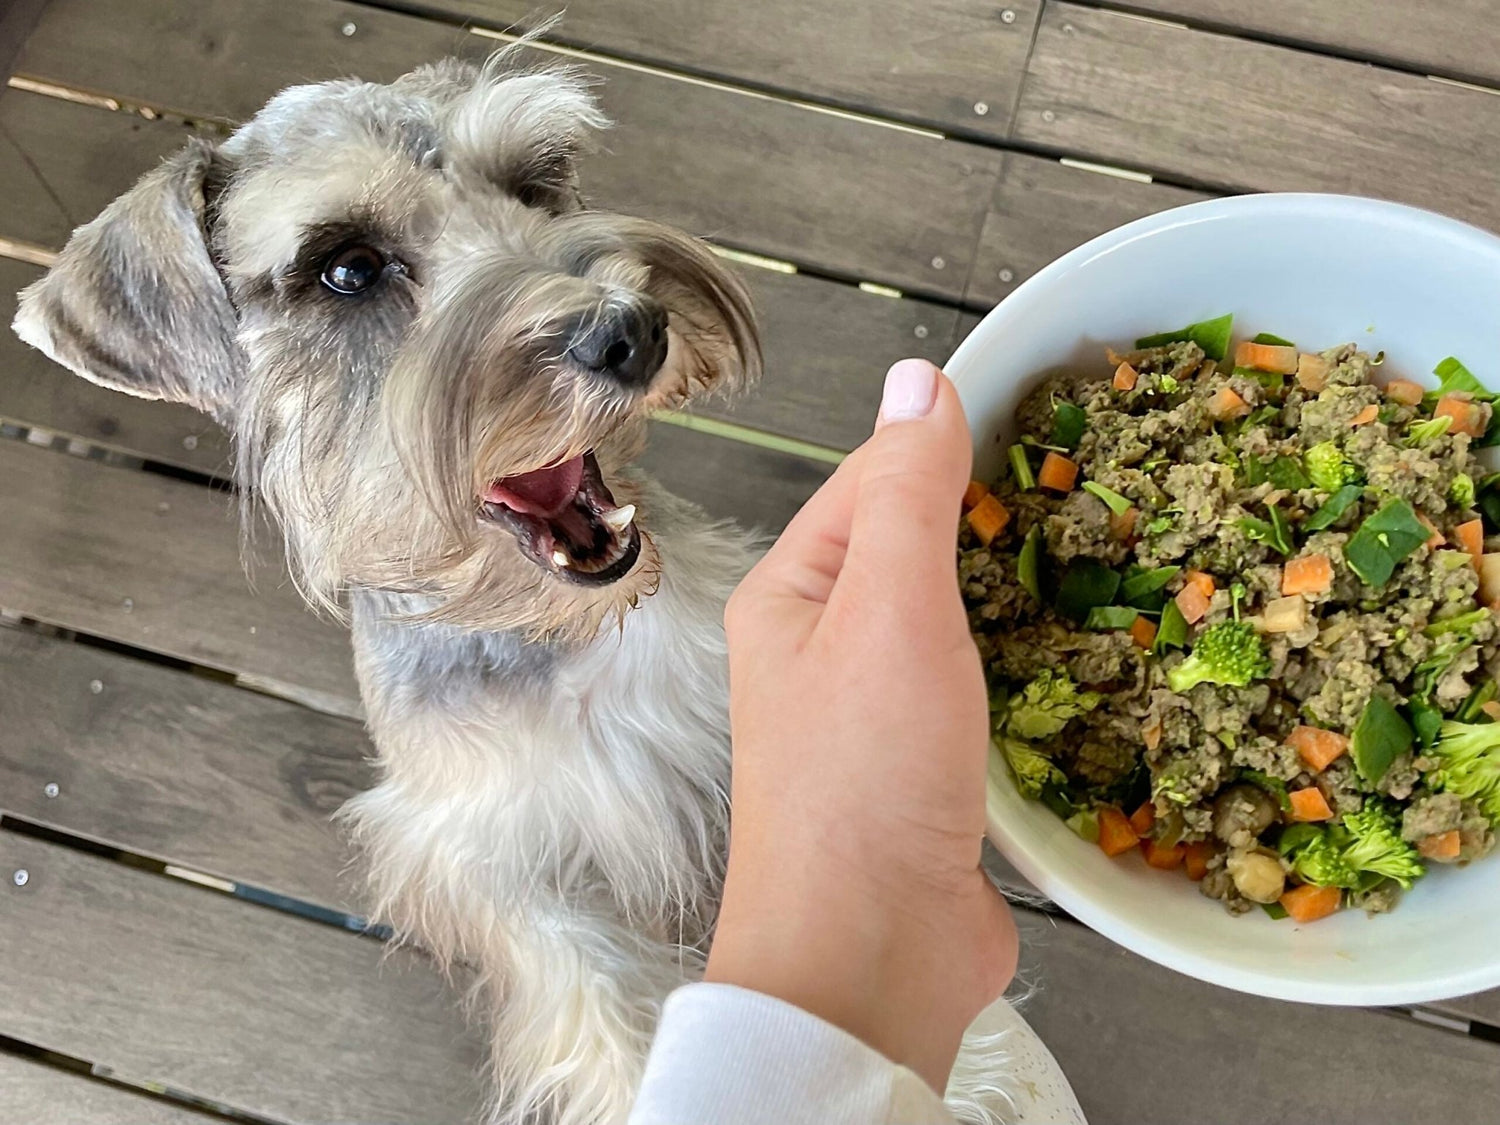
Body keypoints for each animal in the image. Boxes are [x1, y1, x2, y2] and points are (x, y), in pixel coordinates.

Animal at [11, 50, 1014, 1125]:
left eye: (537, 181)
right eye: (347, 267)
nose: (634, 330)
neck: (553, 638)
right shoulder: (484, 860)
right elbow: (600, 1001)